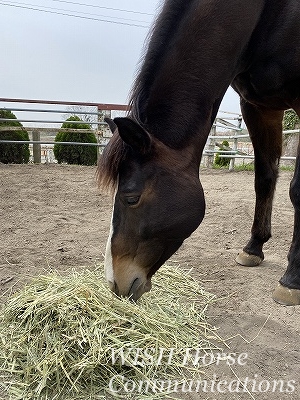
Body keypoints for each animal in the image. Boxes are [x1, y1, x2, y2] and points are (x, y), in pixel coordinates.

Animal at [98, 0, 300, 304]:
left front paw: (292, 278)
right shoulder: (258, 107)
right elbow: (264, 179)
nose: (114, 282)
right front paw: (253, 248)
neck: (267, 15)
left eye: (131, 198)